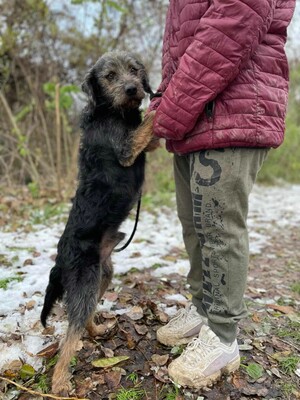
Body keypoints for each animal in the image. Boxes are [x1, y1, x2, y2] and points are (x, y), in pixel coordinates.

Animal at [40, 50, 158, 394]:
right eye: (109, 76)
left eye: (134, 70)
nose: (133, 89)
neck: (112, 112)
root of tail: (60, 260)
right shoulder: (127, 149)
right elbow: (149, 123)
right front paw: (158, 106)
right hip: (85, 280)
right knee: (70, 333)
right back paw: (60, 383)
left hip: (101, 275)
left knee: (84, 317)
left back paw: (96, 330)